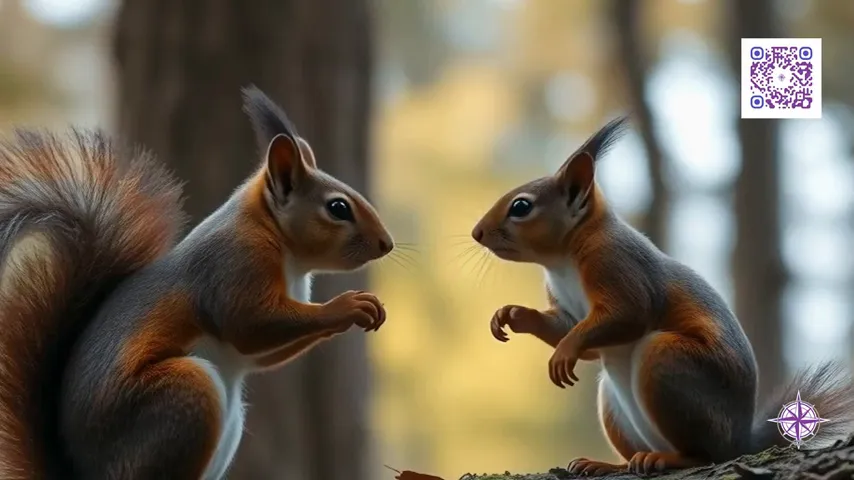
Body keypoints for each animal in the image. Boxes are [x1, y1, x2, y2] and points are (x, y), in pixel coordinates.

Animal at [0, 85, 393, 480]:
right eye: (338, 208)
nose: (386, 244)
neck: (279, 243)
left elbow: (262, 352)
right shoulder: (234, 266)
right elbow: (249, 324)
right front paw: (346, 306)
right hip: (184, 396)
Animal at [471, 116, 854, 476]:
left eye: (521, 207)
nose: (477, 233)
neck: (561, 259)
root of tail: (740, 442)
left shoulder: (617, 263)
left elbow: (629, 314)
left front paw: (565, 351)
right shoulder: (567, 305)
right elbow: (579, 337)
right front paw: (512, 315)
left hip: (668, 363)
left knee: (704, 453)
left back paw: (671, 459)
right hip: (612, 401)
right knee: (633, 449)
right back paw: (610, 464)